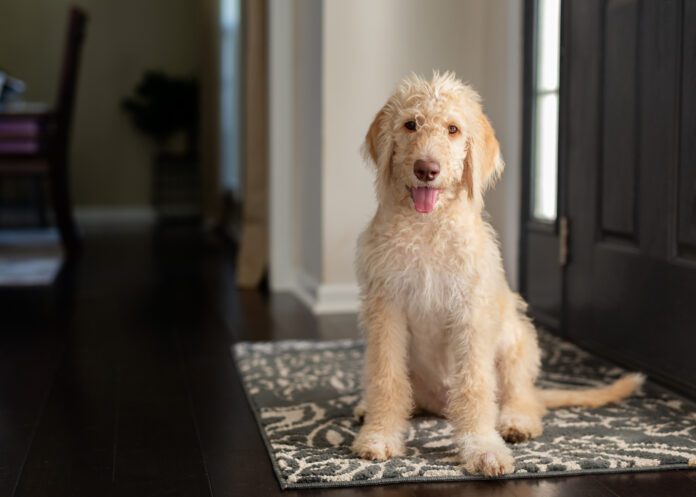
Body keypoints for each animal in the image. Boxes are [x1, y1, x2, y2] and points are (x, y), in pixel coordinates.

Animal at [354, 71, 640, 474]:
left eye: (453, 129)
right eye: (411, 124)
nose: (426, 169)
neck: (427, 227)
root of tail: (439, 405)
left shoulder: (471, 312)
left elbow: (475, 384)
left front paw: (482, 447)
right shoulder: (386, 309)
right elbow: (386, 377)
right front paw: (380, 435)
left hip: (516, 339)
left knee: (522, 396)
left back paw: (516, 421)